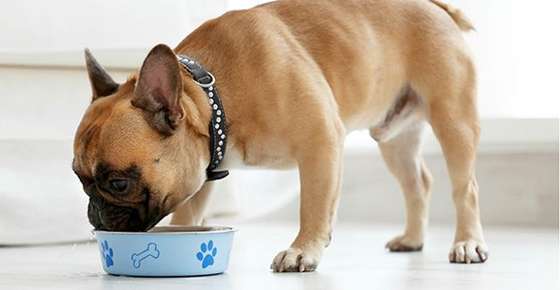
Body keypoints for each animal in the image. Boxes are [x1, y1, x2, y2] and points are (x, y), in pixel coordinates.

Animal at [73, 0, 486, 272]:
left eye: (119, 183)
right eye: (80, 179)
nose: (94, 214)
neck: (214, 96)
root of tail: (436, 7)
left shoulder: (320, 144)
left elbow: (314, 206)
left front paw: (302, 251)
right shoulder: (198, 168)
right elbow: (187, 212)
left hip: (453, 119)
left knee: (465, 188)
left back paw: (467, 243)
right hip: (394, 139)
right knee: (418, 184)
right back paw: (412, 239)